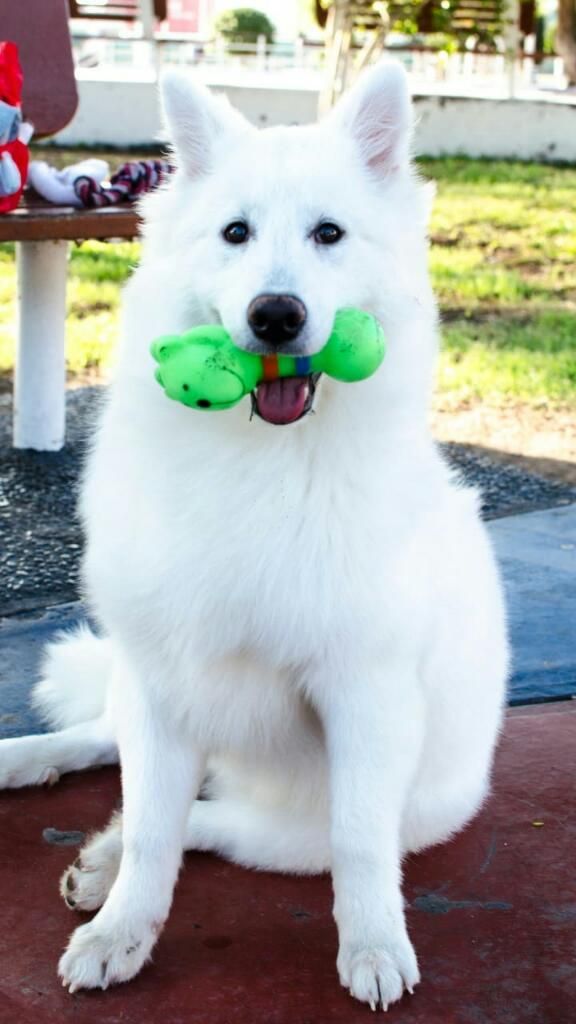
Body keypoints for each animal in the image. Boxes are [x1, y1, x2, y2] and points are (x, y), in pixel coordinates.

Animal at [0, 61, 506, 1007]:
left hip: (298, 830)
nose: (276, 316)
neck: (263, 460)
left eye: (328, 234)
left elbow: (353, 846)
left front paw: (374, 946)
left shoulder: (363, 698)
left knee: (214, 821)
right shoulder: (162, 682)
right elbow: (152, 827)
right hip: (142, 696)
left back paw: (100, 856)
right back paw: (32, 770)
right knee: (109, 748)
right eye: (236, 233)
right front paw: (121, 930)